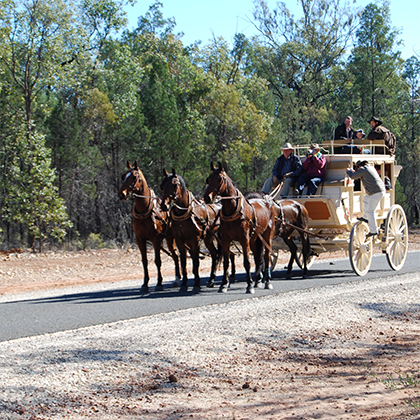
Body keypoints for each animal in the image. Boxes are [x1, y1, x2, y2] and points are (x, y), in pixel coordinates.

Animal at [117, 161, 180, 292]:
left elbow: (157, 261)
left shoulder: (155, 238)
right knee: (175, 255)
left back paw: (177, 278)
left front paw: (159, 283)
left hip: (171, 237)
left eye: (134, 177)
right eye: (124, 176)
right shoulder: (139, 239)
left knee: (176, 255)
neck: (144, 210)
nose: (122, 194)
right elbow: (144, 261)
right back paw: (177, 278)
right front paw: (145, 284)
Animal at [203, 162, 276, 294]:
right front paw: (223, 285)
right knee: (258, 257)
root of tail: (267, 202)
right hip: (254, 239)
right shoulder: (225, 240)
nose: (207, 197)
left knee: (267, 256)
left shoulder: (244, 239)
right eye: (208, 179)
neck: (232, 211)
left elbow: (247, 262)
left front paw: (249, 285)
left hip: (267, 236)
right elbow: (226, 262)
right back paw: (258, 281)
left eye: (220, 178)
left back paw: (267, 281)